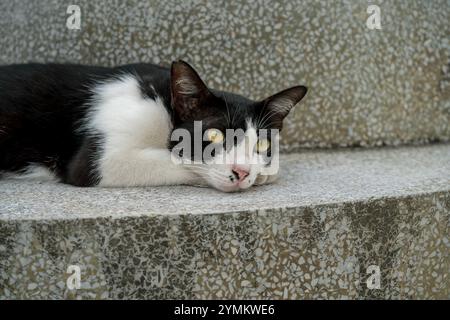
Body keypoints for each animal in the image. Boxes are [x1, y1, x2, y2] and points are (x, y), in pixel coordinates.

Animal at [0, 60, 306, 191]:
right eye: (215, 134)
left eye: (263, 144)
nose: (242, 171)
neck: (165, 104)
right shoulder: (99, 162)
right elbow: (177, 161)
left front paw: (262, 171)